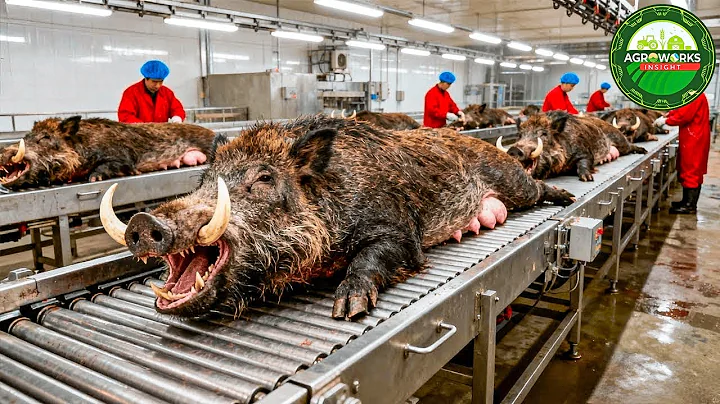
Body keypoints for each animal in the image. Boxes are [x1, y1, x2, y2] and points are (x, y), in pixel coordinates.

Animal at [100, 115, 575, 320]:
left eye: (264, 179)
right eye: (205, 180)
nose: (143, 223)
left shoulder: (400, 231)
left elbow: (372, 258)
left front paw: (347, 309)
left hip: (512, 179)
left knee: (536, 187)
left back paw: (567, 196)